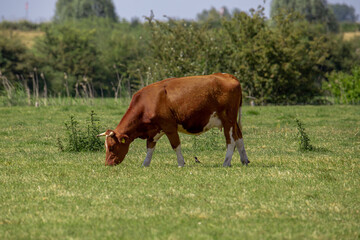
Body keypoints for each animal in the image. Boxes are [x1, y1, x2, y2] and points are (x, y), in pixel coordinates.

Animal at [97, 72, 249, 167]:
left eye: (112, 147)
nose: (107, 164)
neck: (147, 103)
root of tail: (226, 75)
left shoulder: (169, 127)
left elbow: (176, 145)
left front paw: (181, 163)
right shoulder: (153, 131)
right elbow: (150, 147)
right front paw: (145, 164)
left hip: (228, 120)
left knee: (231, 141)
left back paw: (226, 162)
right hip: (233, 121)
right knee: (239, 137)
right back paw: (244, 160)